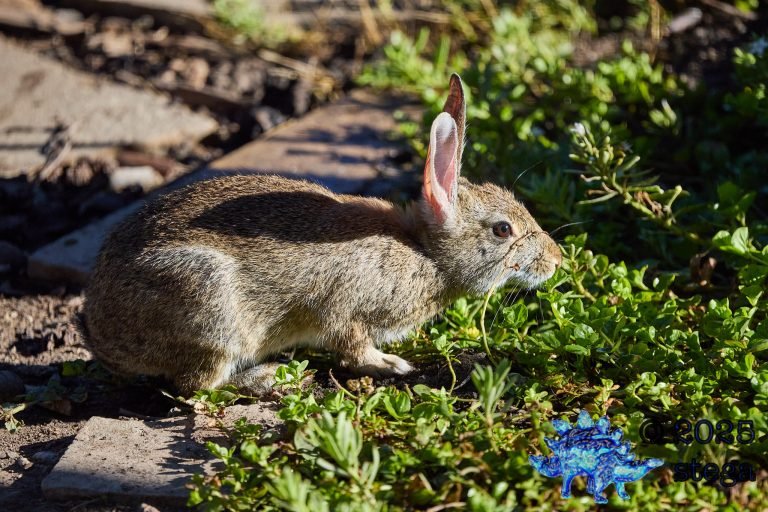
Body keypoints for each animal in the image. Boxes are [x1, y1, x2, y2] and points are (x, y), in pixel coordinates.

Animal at [81, 74, 562, 395]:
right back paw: (266, 377)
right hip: (209, 306)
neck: (424, 252)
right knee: (195, 384)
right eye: (503, 230)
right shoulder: (346, 311)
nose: (557, 260)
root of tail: (103, 334)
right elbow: (353, 350)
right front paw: (394, 365)